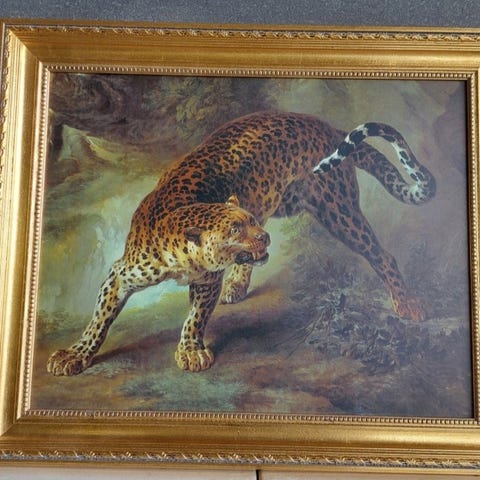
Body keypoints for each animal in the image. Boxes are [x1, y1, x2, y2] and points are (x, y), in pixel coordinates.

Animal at [47, 111, 435, 376]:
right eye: (235, 228)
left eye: (247, 222)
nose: (264, 236)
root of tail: (328, 128)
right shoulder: (121, 274)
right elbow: (99, 319)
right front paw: (75, 354)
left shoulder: (207, 280)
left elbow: (195, 317)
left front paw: (191, 351)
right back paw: (238, 284)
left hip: (338, 210)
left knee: (384, 256)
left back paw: (407, 303)